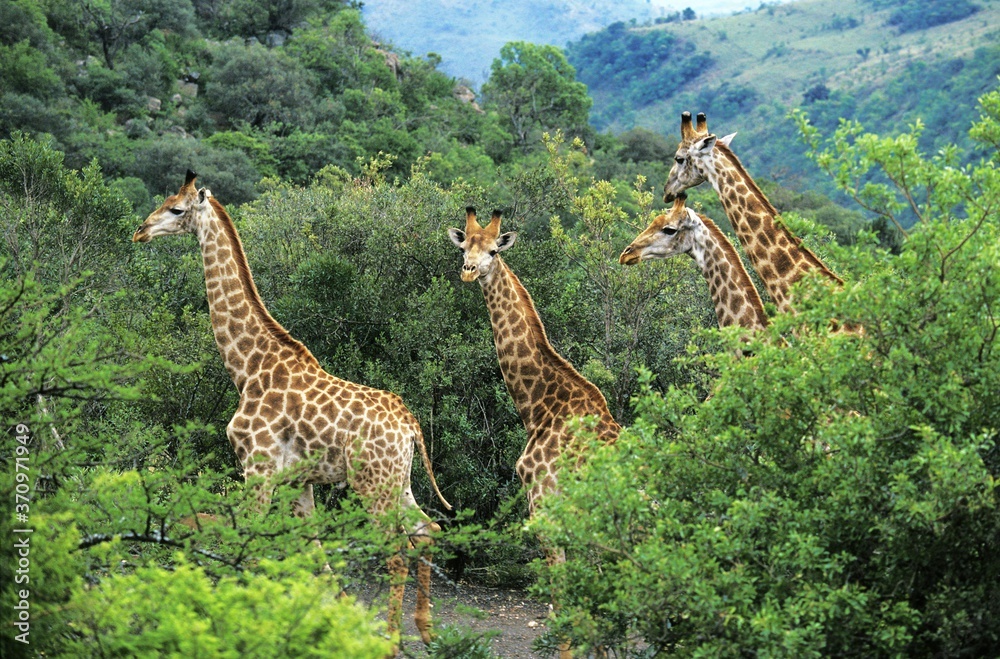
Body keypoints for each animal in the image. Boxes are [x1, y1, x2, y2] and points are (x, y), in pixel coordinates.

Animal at [132, 171, 451, 650]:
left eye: (176, 208)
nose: (140, 230)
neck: (247, 368)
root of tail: (411, 425)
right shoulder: (299, 480)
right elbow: (315, 556)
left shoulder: (257, 468)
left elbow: (246, 548)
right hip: (398, 479)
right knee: (427, 530)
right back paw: (425, 630)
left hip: (371, 482)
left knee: (397, 549)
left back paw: (392, 640)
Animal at [448, 208, 620, 658]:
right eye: (463, 245)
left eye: (493, 250)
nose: (469, 271)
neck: (539, 406)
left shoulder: (545, 507)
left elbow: (563, 608)